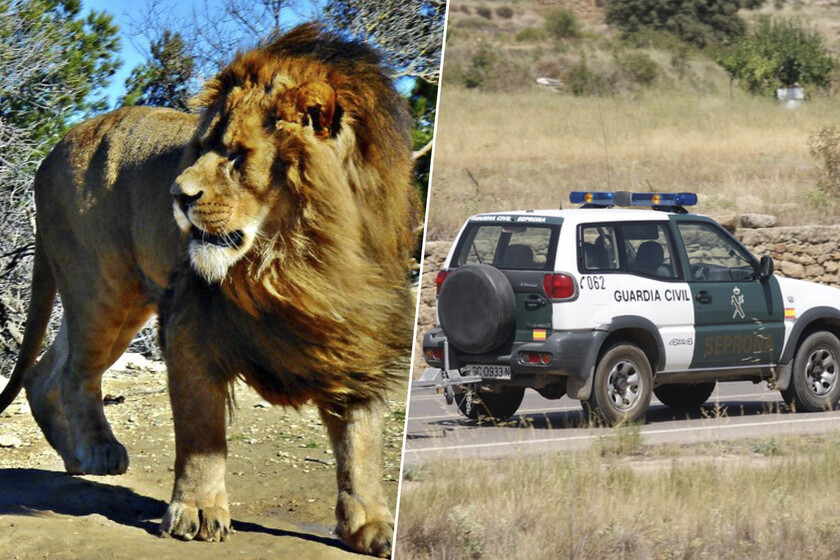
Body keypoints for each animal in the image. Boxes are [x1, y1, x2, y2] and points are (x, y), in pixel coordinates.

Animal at [0, 24, 419, 557]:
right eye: (199, 148)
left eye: (238, 155)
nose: (177, 196)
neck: (298, 262)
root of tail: (52, 150)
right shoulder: (188, 320)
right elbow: (201, 431)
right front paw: (197, 512)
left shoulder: (358, 329)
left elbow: (361, 441)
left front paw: (372, 523)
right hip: (102, 289)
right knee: (75, 372)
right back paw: (96, 452)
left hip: (111, 300)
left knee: (45, 370)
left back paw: (73, 454)